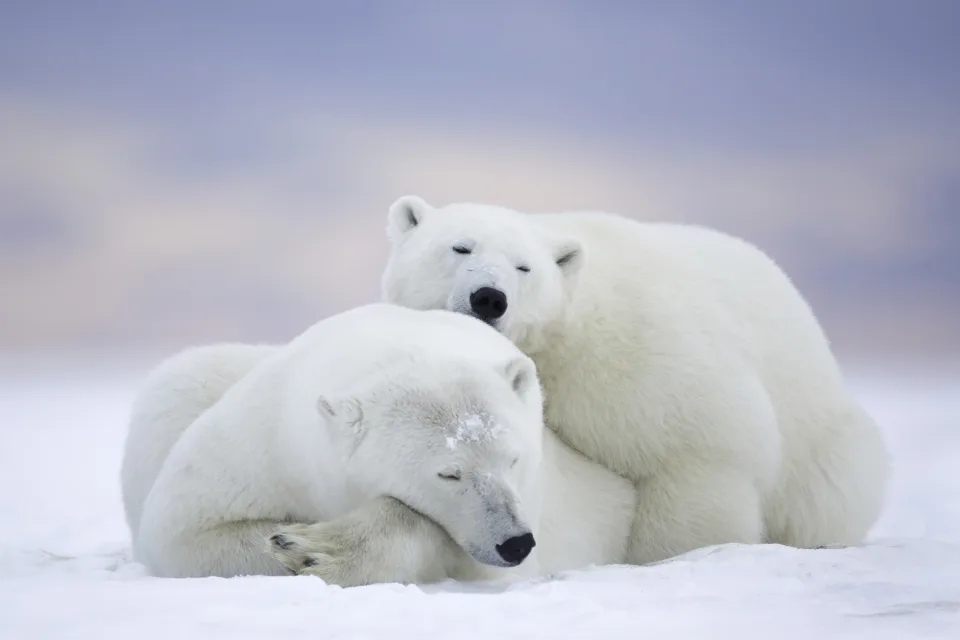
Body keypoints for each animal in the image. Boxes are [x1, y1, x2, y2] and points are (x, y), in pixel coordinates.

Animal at [121, 303, 637, 584]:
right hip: (182, 386)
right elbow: (185, 530)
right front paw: (291, 542)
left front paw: (316, 549)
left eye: (514, 459)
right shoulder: (266, 441)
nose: (515, 542)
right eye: (449, 473)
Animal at [380, 195, 891, 565]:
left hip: (821, 443)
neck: (564, 336)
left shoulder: (636, 358)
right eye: (460, 247)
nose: (489, 297)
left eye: (524, 267)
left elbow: (699, 450)